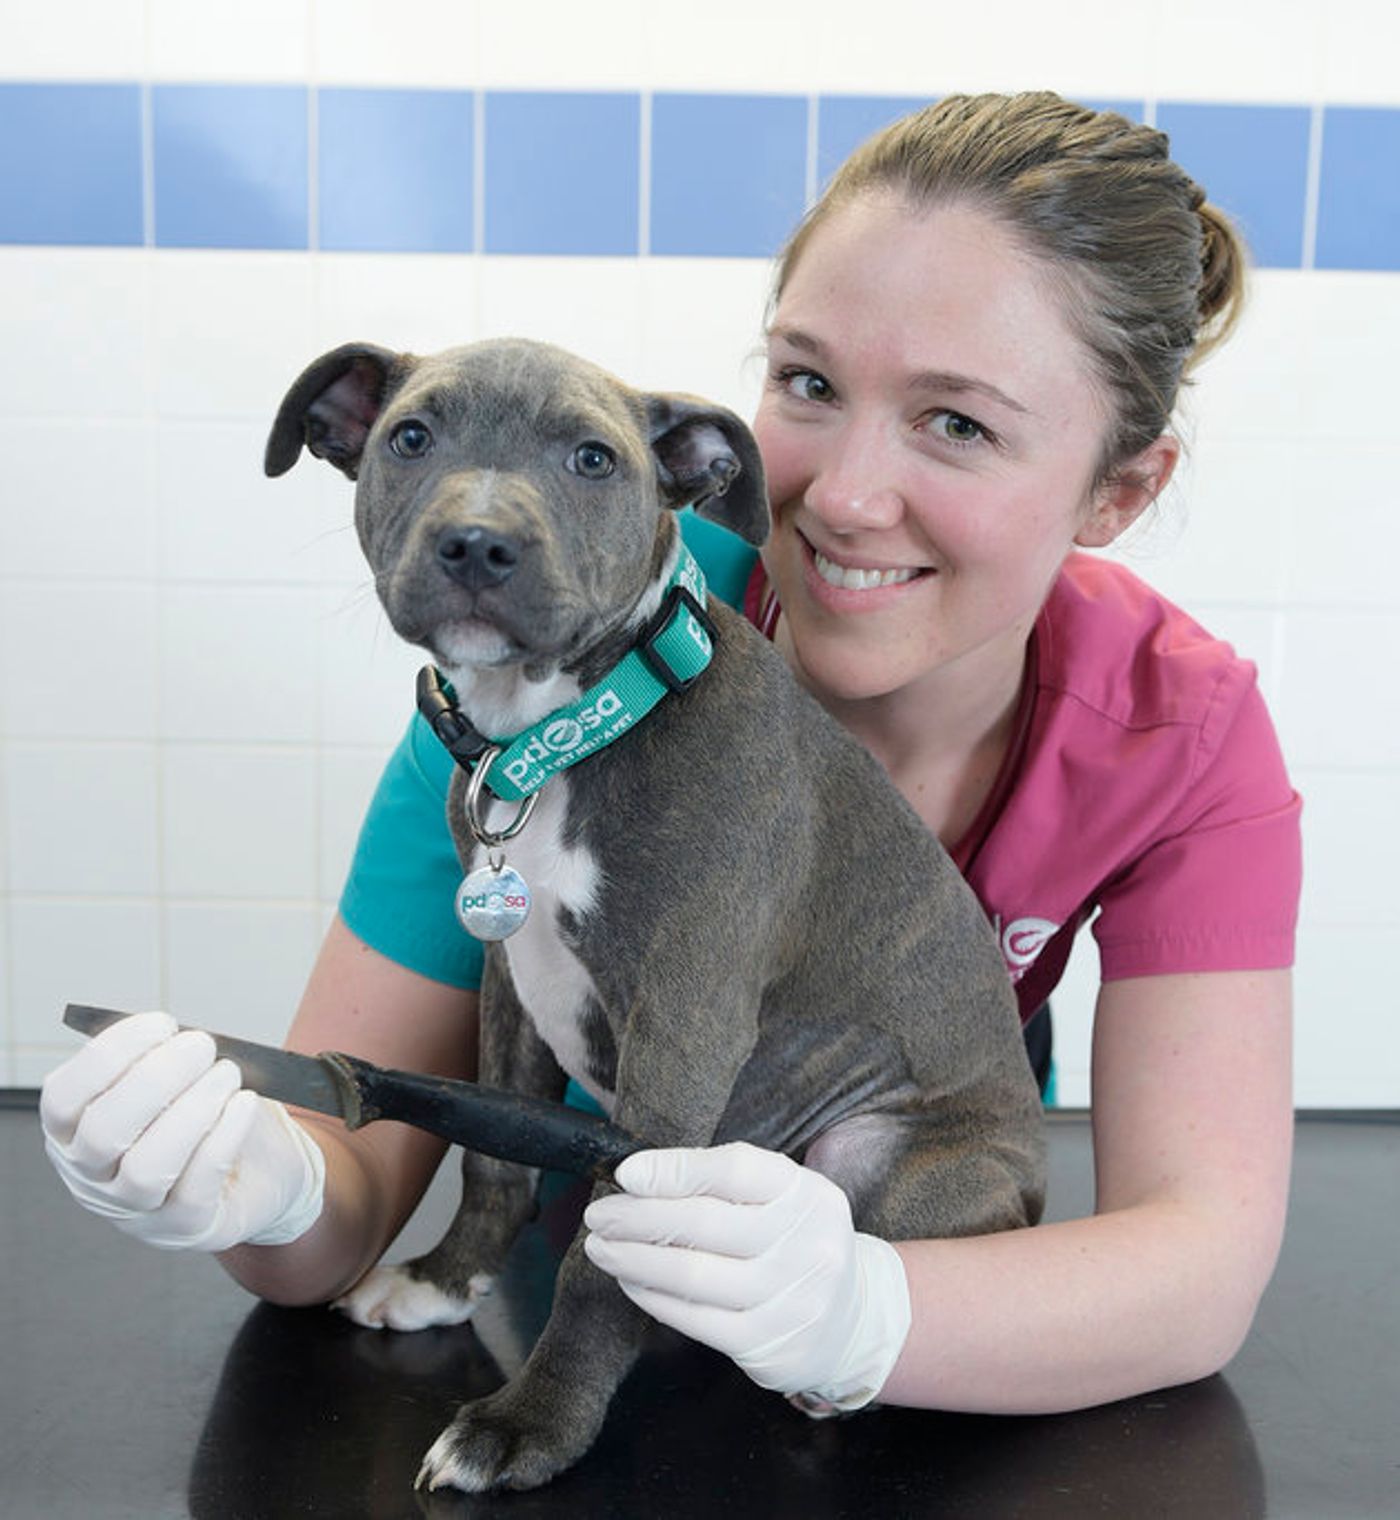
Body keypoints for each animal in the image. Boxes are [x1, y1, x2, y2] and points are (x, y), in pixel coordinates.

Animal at [267, 338, 1045, 1489]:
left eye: (593, 459)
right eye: (410, 437)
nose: (478, 542)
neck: (562, 733)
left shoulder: (683, 1022)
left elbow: (601, 1253)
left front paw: (530, 1425)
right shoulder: (508, 978)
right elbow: (494, 1157)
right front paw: (447, 1280)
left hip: (885, 1156)